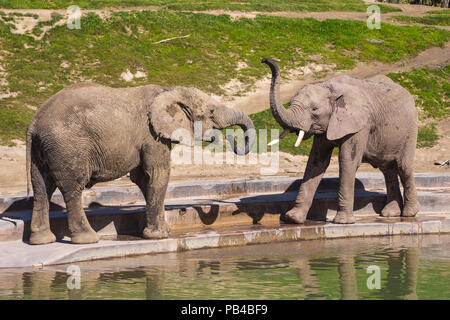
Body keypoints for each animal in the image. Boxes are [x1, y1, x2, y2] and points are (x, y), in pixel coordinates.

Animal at [26, 82, 255, 245]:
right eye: (211, 112)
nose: (230, 138)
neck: (169, 91)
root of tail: (34, 122)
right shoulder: (151, 135)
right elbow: (158, 173)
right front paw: (159, 236)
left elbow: (144, 178)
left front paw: (163, 231)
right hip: (67, 146)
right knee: (72, 188)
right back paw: (87, 239)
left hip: (43, 149)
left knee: (41, 188)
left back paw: (41, 241)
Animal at [262, 58, 420, 226]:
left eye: (314, 109)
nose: (265, 60)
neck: (328, 87)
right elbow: (316, 162)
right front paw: (293, 218)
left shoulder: (360, 124)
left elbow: (347, 161)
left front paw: (342, 222)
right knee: (387, 169)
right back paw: (390, 214)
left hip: (411, 129)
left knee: (404, 167)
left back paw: (409, 213)